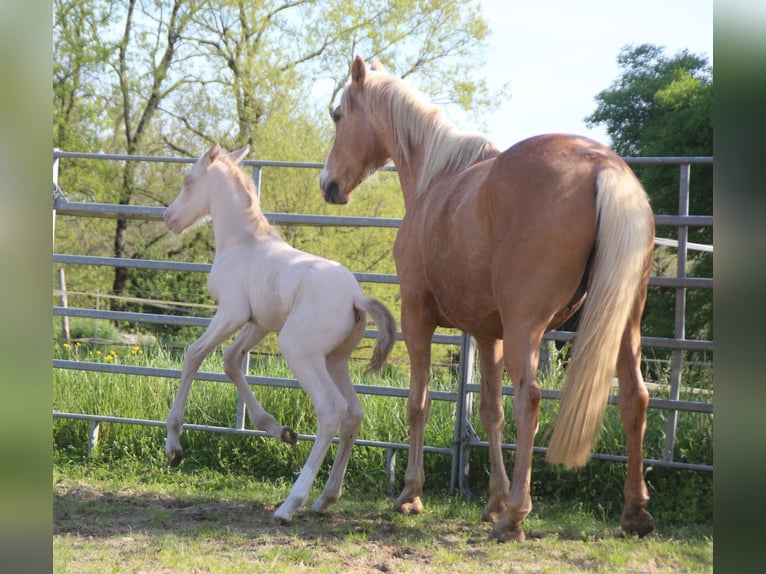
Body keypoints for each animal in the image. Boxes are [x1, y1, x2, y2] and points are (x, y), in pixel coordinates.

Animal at [166, 143, 396, 520]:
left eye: (187, 180)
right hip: (334, 359)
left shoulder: (231, 312)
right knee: (354, 413)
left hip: (298, 349)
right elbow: (231, 361)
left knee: (331, 409)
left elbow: (194, 356)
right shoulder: (259, 322)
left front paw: (173, 448)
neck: (243, 244)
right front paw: (280, 430)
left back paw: (291, 503)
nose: (169, 218)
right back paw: (325, 498)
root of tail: (356, 297)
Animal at [320, 57, 656, 544]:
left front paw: (411, 494)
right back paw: (634, 512)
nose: (328, 184)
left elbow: (418, 404)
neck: (435, 179)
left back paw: (515, 516)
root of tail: (601, 166)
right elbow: (490, 412)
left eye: (338, 114)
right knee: (635, 399)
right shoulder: (486, 334)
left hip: (526, 329)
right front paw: (492, 498)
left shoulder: (417, 318)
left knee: (529, 400)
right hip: (626, 325)